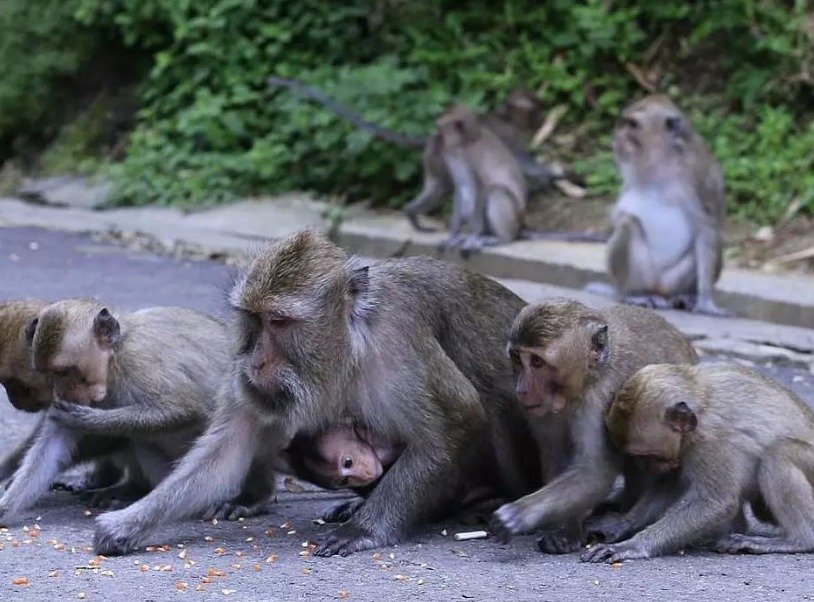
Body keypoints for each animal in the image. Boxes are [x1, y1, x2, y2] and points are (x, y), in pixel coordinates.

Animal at [0, 300, 255, 520]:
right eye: (49, 375)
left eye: (63, 371)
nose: (61, 392)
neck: (112, 363)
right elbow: (50, 450)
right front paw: (5, 506)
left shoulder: (137, 363)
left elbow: (184, 409)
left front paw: (84, 420)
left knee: (144, 437)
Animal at [94, 227, 540, 556]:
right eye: (253, 319)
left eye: (278, 322)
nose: (255, 362)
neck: (347, 348)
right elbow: (226, 450)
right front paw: (129, 523)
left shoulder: (398, 341)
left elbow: (457, 420)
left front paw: (366, 530)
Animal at [490, 298, 700, 552]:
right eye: (517, 358)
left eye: (537, 362)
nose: (522, 389)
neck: (589, 379)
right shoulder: (542, 412)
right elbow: (556, 456)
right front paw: (567, 530)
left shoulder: (600, 401)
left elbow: (594, 473)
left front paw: (520, 514)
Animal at [584, 360, 814, 564]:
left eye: (650, 456)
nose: (649, 469)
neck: (701, 402)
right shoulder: (682, 449)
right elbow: (671, 485)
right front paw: (621, 524)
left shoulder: (709, 439)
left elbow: (716, 502)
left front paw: (631, 545)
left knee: (779, 453)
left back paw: (799, 540)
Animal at [592, 94, 732, 316]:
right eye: (624, 122)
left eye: (632, 124)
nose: (617, 138)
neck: (663, 160)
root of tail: (657, 288)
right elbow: (619, 215)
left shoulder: (700, 177)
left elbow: (707, 228)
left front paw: (705, 302)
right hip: (644, 275)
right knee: (628, 224)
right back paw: (630, 294)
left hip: (671, 281)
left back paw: (683, 297)